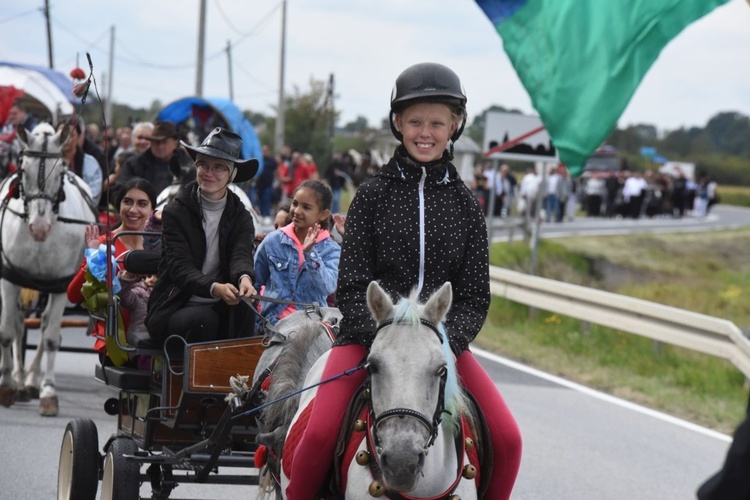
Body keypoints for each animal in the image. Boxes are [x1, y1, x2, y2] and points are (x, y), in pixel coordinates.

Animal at [0, 123, 97, 416]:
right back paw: (19, 381)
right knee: (18, 324)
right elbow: (7, 332)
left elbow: (52, 337)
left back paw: (31, 382)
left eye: (60, 173)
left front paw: (48, 392)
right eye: (23, 170)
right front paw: (7, 384)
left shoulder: (60, 284)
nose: (39, 228)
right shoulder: (9, 279)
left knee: (42, 326)